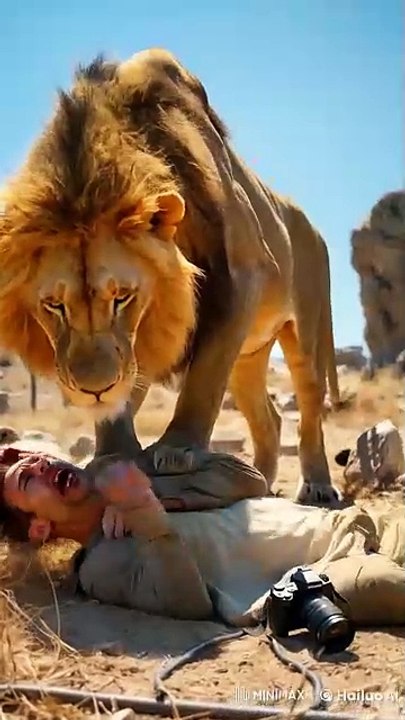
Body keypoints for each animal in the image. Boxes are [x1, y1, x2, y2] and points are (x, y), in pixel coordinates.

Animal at [0, 48, 341, 506]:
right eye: (54, 305)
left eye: (122, 296)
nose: (93, 391)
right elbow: (127, 391)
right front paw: (113, 453)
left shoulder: (243, 274)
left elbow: (203, 380)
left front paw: (179, 450)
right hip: (249, 355)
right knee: (268, 417)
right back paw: (262, 483)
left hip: (306, 330)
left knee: (309, 405)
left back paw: (317, 485)